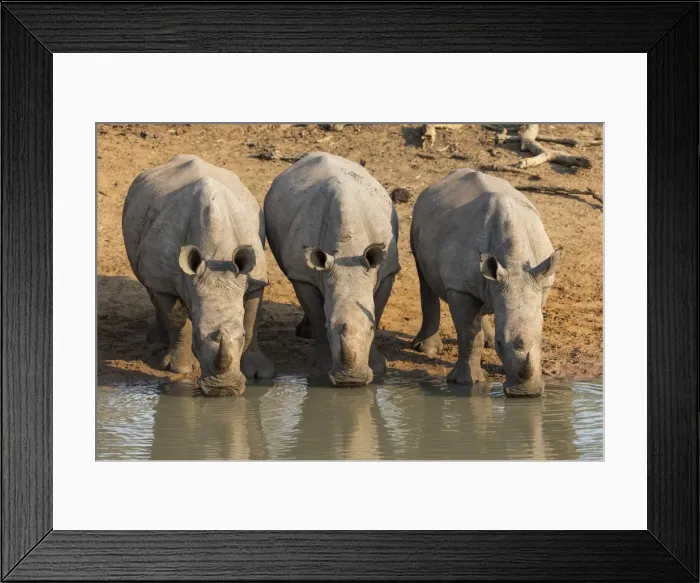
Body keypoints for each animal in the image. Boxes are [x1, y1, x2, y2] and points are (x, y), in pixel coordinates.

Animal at [122, 154, 275, 396]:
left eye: (240, 337)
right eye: (196, 337)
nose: (223, 390)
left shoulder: (255, 279)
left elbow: (251, 320)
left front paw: (260, 372)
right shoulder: (164, 278)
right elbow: (176, 319)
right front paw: (181, 368)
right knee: (151, 286)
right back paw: (156, 343)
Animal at [264, 152, 400, 386]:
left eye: (371, 329)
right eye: (329, 328)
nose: (350, 381)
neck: (347, 253)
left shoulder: (387, 271)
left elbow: (378, 311)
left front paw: (378, 366)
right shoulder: (303, 277)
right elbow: (318, 314)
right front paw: (320, 365)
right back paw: (305, 333)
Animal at [410, 169, 562, 397]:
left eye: (543, 340)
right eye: (500, 343)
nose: (526, 394)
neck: (515, 266)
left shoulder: (540, 281)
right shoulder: (459, 289)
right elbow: (468, 334)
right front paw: (467, 382)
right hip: (419, 221)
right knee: (424, 277)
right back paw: (427, 349)